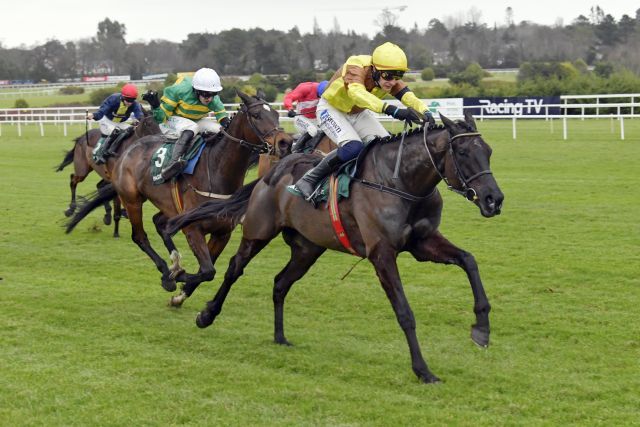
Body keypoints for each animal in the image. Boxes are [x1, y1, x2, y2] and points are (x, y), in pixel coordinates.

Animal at [67, 90, 292, 304]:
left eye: (275, 114)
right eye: (256, 115)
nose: (285, 142)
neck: (216, 168)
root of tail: (129, 150)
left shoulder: (222, 232)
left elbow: (207, 269)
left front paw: (180, 295)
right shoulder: (192, 228)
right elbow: (208, 271)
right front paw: (174, 278)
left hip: (168, 206)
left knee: (160, 223)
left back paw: (173, 262)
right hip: (132, 199)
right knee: (140, 236)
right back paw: (166, 270)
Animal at [166, 111, 504, 384]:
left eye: (488, 151)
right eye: (463, 151)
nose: (494, 199)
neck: (400, 183)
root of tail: (270, 175)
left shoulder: (423, 243)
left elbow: (469, 260)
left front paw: (481, 328)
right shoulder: (382, 253)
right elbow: (404, 312)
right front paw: (423, 370)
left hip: (308, 248)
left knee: (281, 282)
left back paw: (279, 336)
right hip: (259, 232)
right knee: (234, 269)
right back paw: (206, 313)